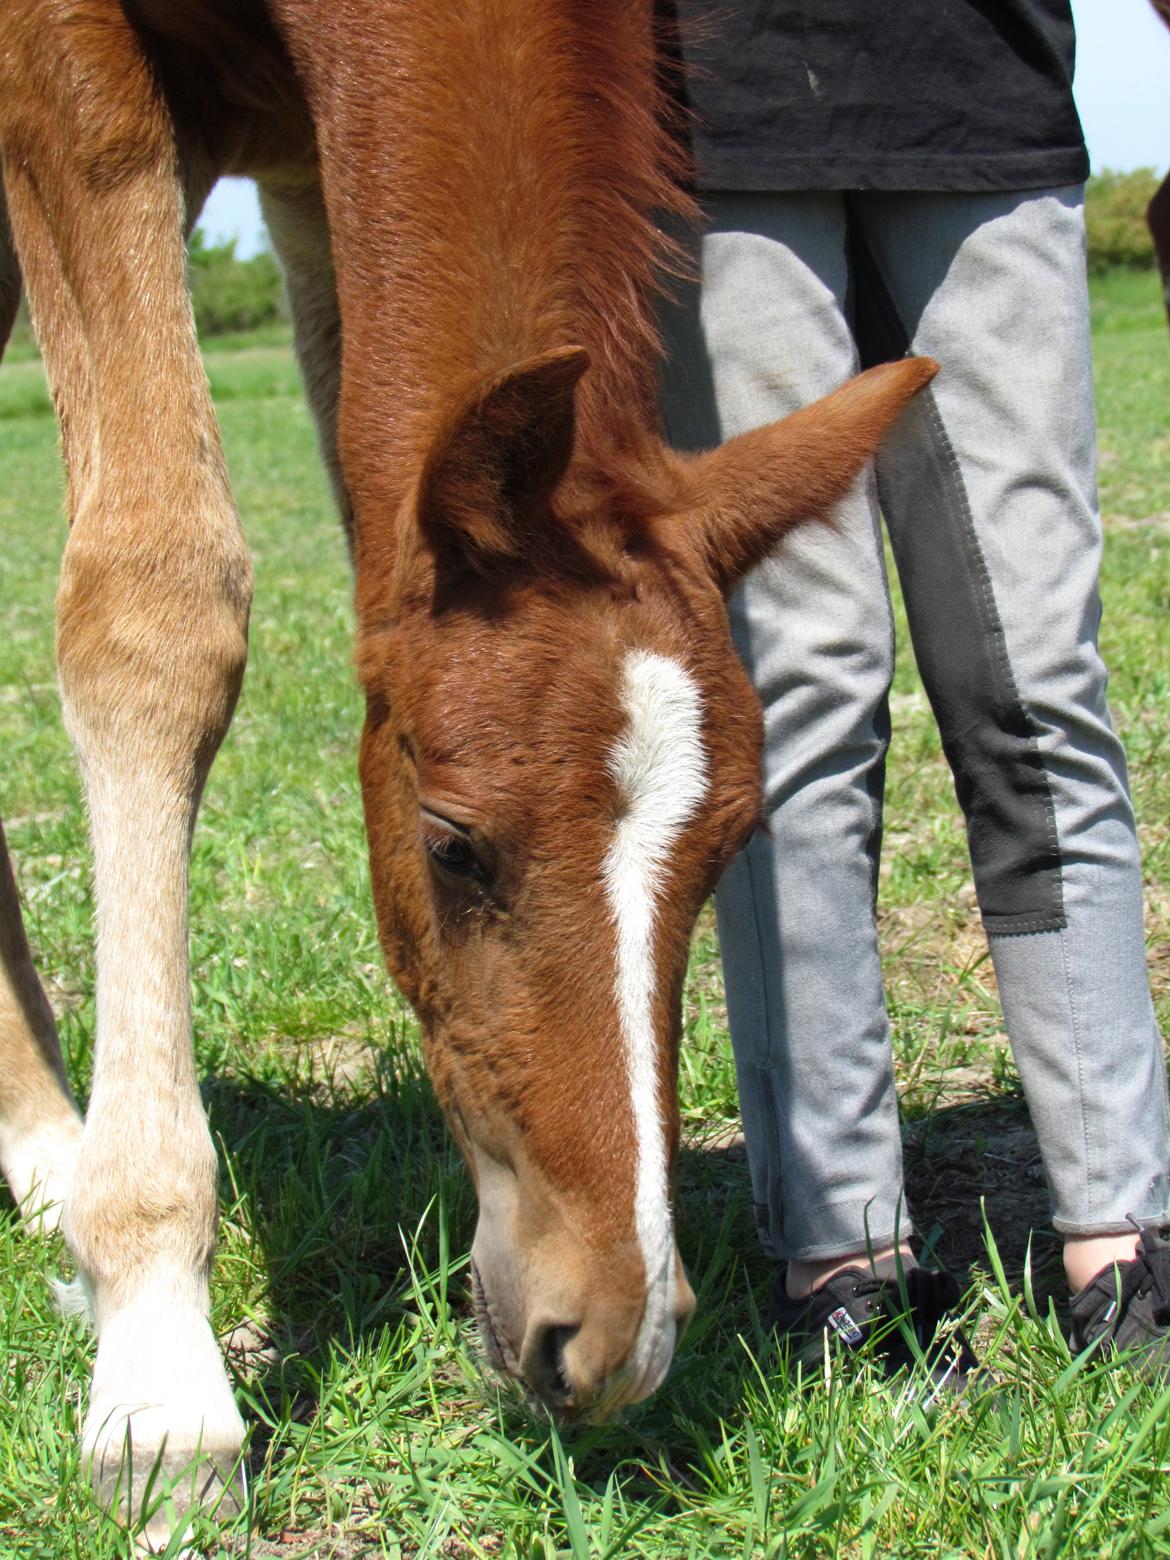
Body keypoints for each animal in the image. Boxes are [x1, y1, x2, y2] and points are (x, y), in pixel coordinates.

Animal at [0, 0, 935, 1541]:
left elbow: (365, 503)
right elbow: (157, 602)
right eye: (452, 841)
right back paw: (49, 1149)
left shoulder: (310, 167)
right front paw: (159, 1377)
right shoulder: (65, 73)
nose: (610, 1337)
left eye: (726, 850)